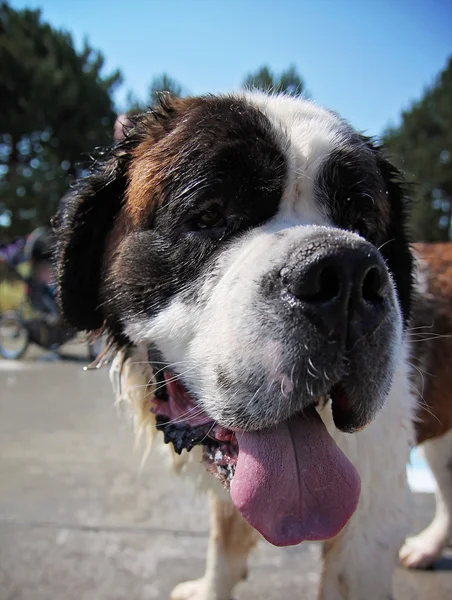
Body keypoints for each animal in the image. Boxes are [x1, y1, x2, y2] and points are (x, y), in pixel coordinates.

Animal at [52, 90, 452, 600]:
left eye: (364, 224)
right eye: (209, 214)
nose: (346, 274)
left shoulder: (369, 521)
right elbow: (223, 543)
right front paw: (210, 587)